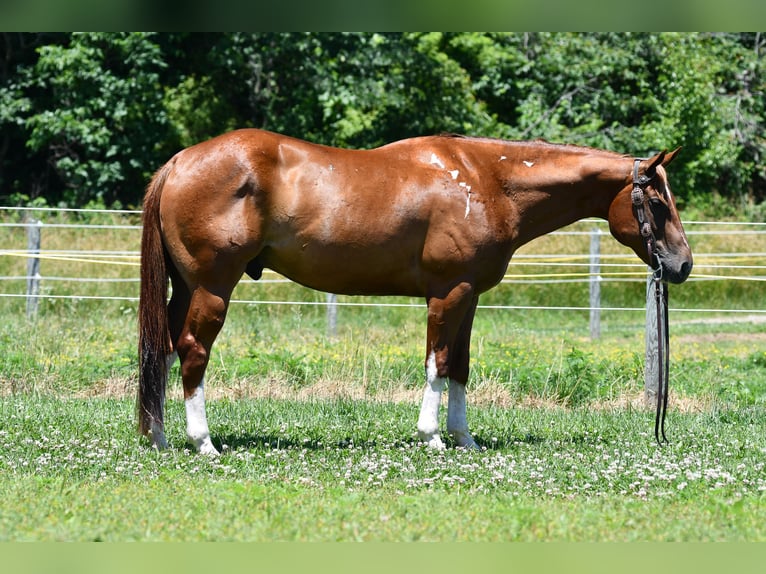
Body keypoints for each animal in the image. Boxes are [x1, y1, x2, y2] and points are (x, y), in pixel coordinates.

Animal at [138, 129, 693, 455]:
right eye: (657, 203)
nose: (683, 264)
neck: (486, 180)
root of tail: (179, 162)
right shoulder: (449, 293)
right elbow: (438, 363)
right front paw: (432, 438)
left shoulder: (470, 295)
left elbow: (461, 367)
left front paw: (464, 438)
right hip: (212, 288)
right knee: (192, 351)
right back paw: (203, 443)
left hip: (185, 289)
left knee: (161, 350)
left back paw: (159, 438)